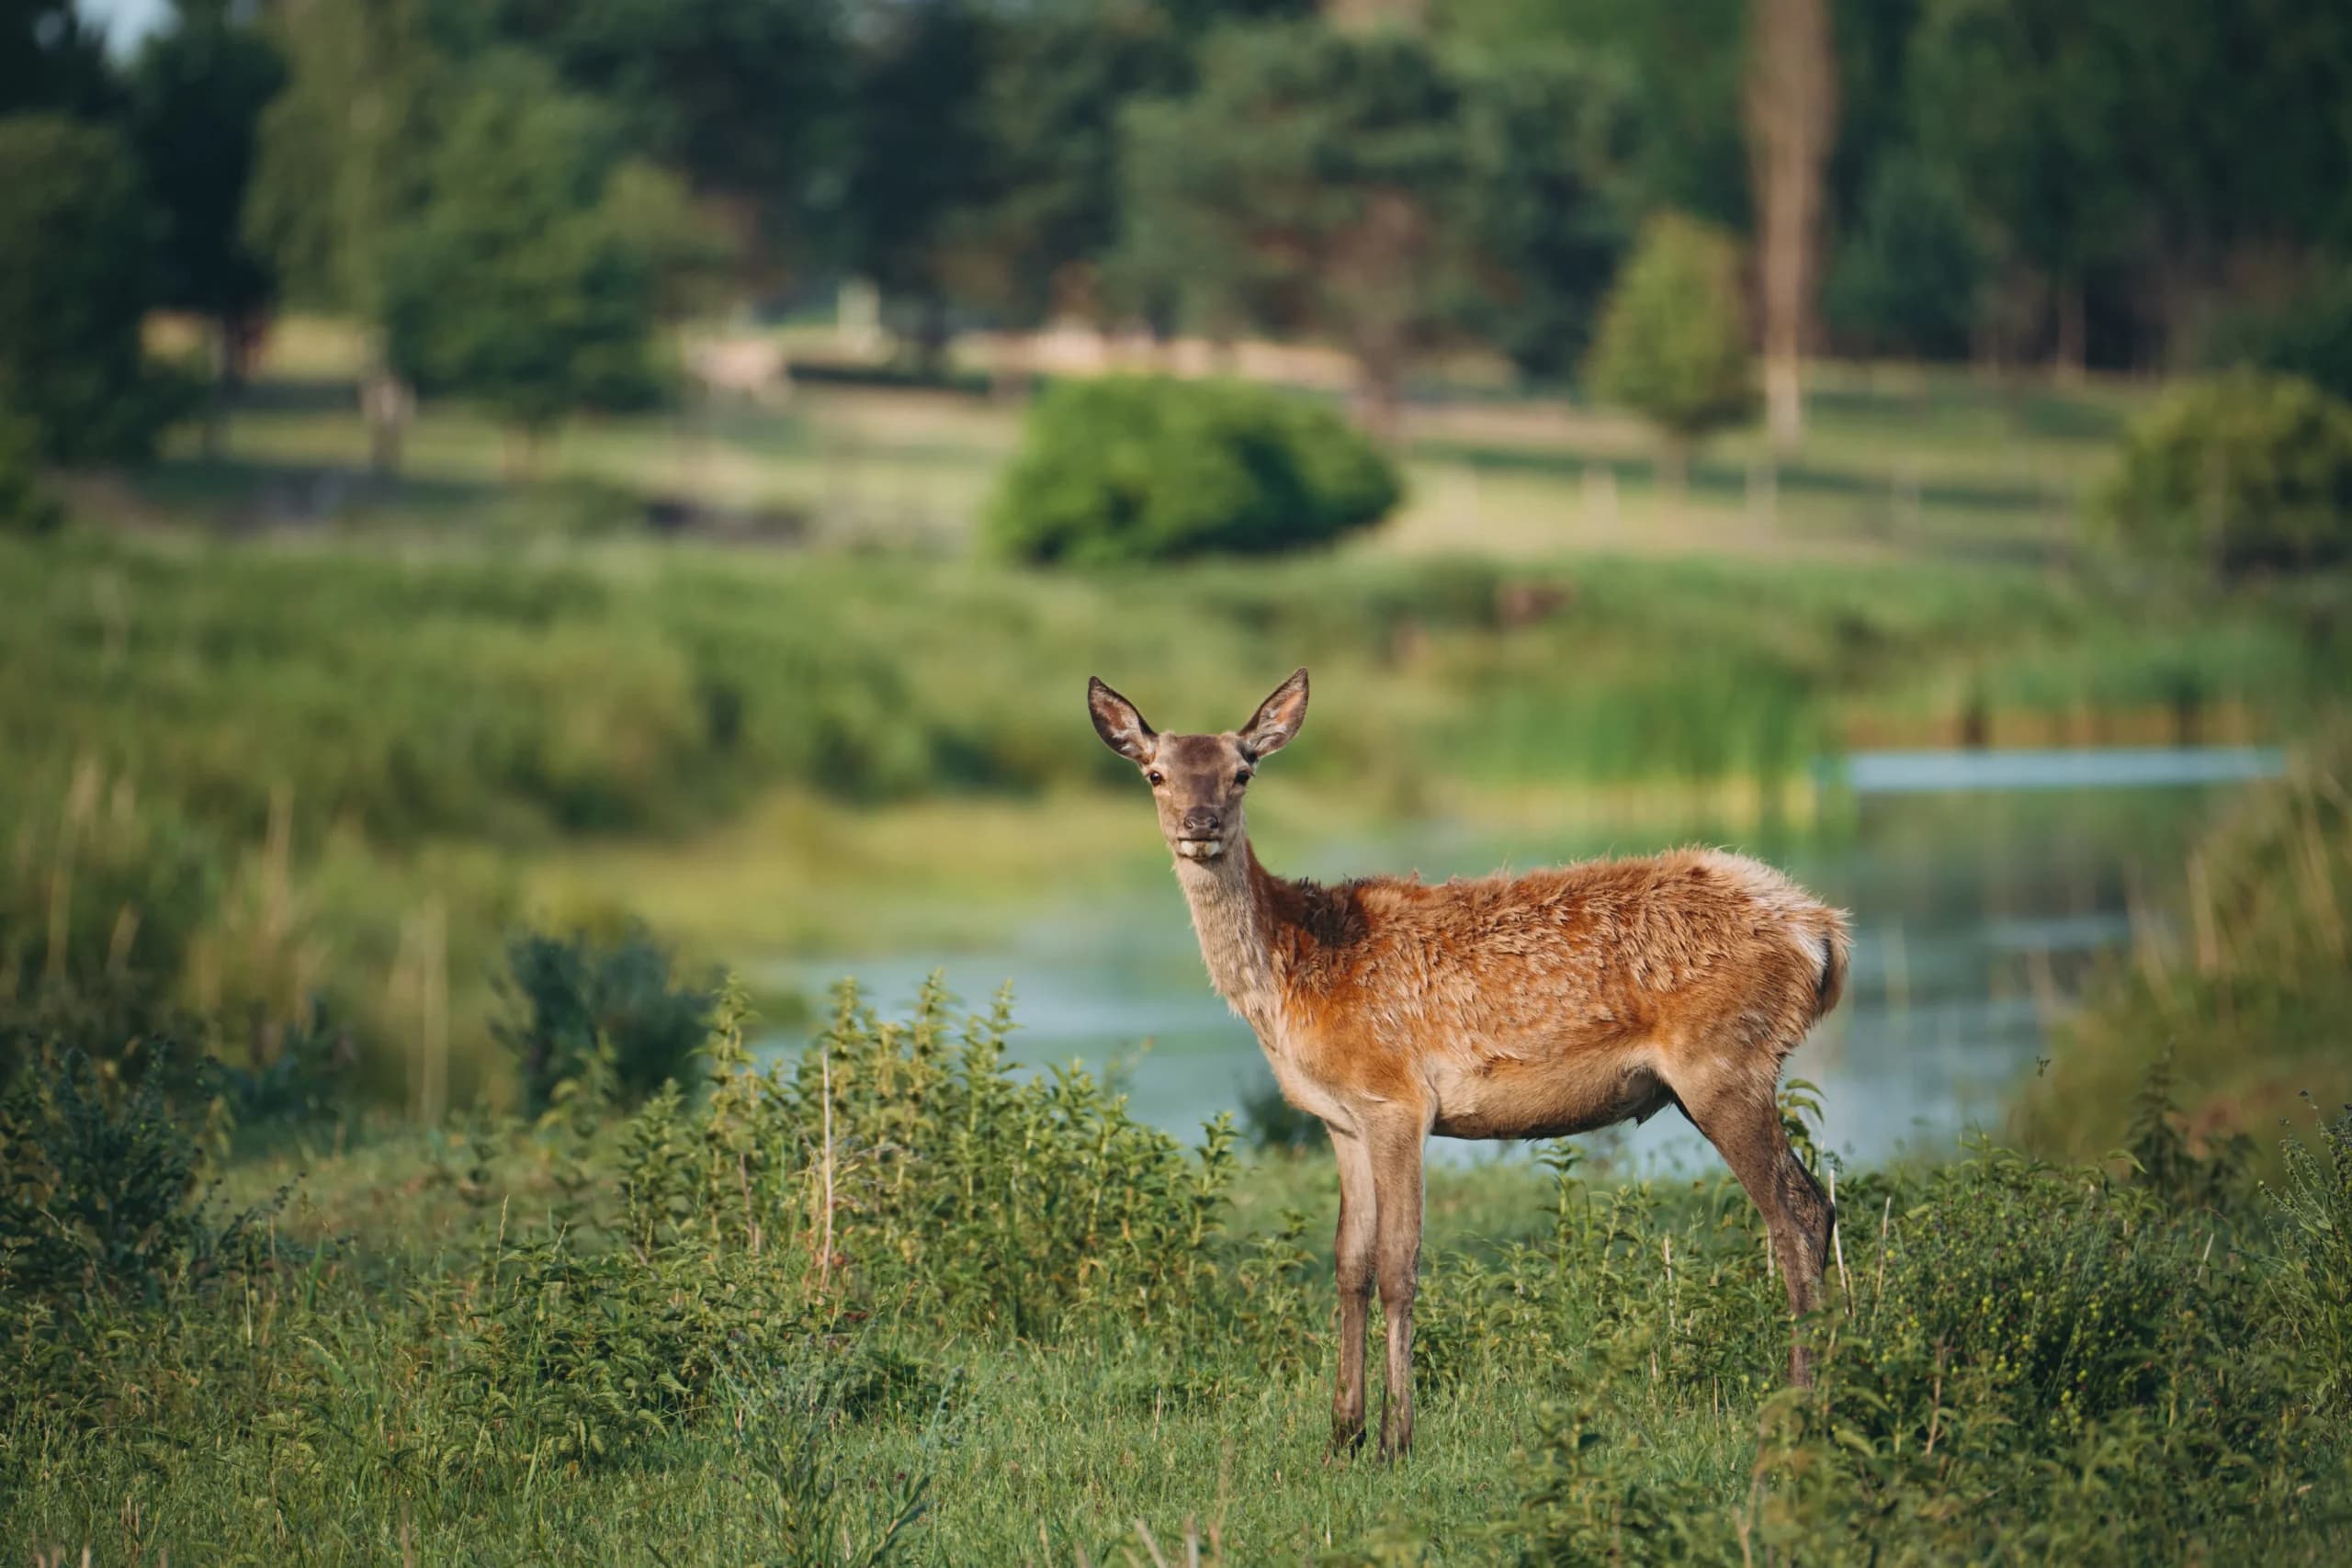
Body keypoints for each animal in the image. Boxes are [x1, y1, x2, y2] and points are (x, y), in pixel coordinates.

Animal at [1087, 668, 1850, 1461]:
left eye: (1243, 771)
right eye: (1155, 773)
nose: (1200, 821)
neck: (1290, 981)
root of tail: (1824, 933)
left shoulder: (1396, 1098)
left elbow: (1399, 1264)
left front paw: (1395, 1439)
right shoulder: (1342, 1120)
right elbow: (1348, 1265)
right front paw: (1340, 1434)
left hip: (1723, 1063)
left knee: (1798, 1210)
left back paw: (1803, 1405)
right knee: (1814, 1203)